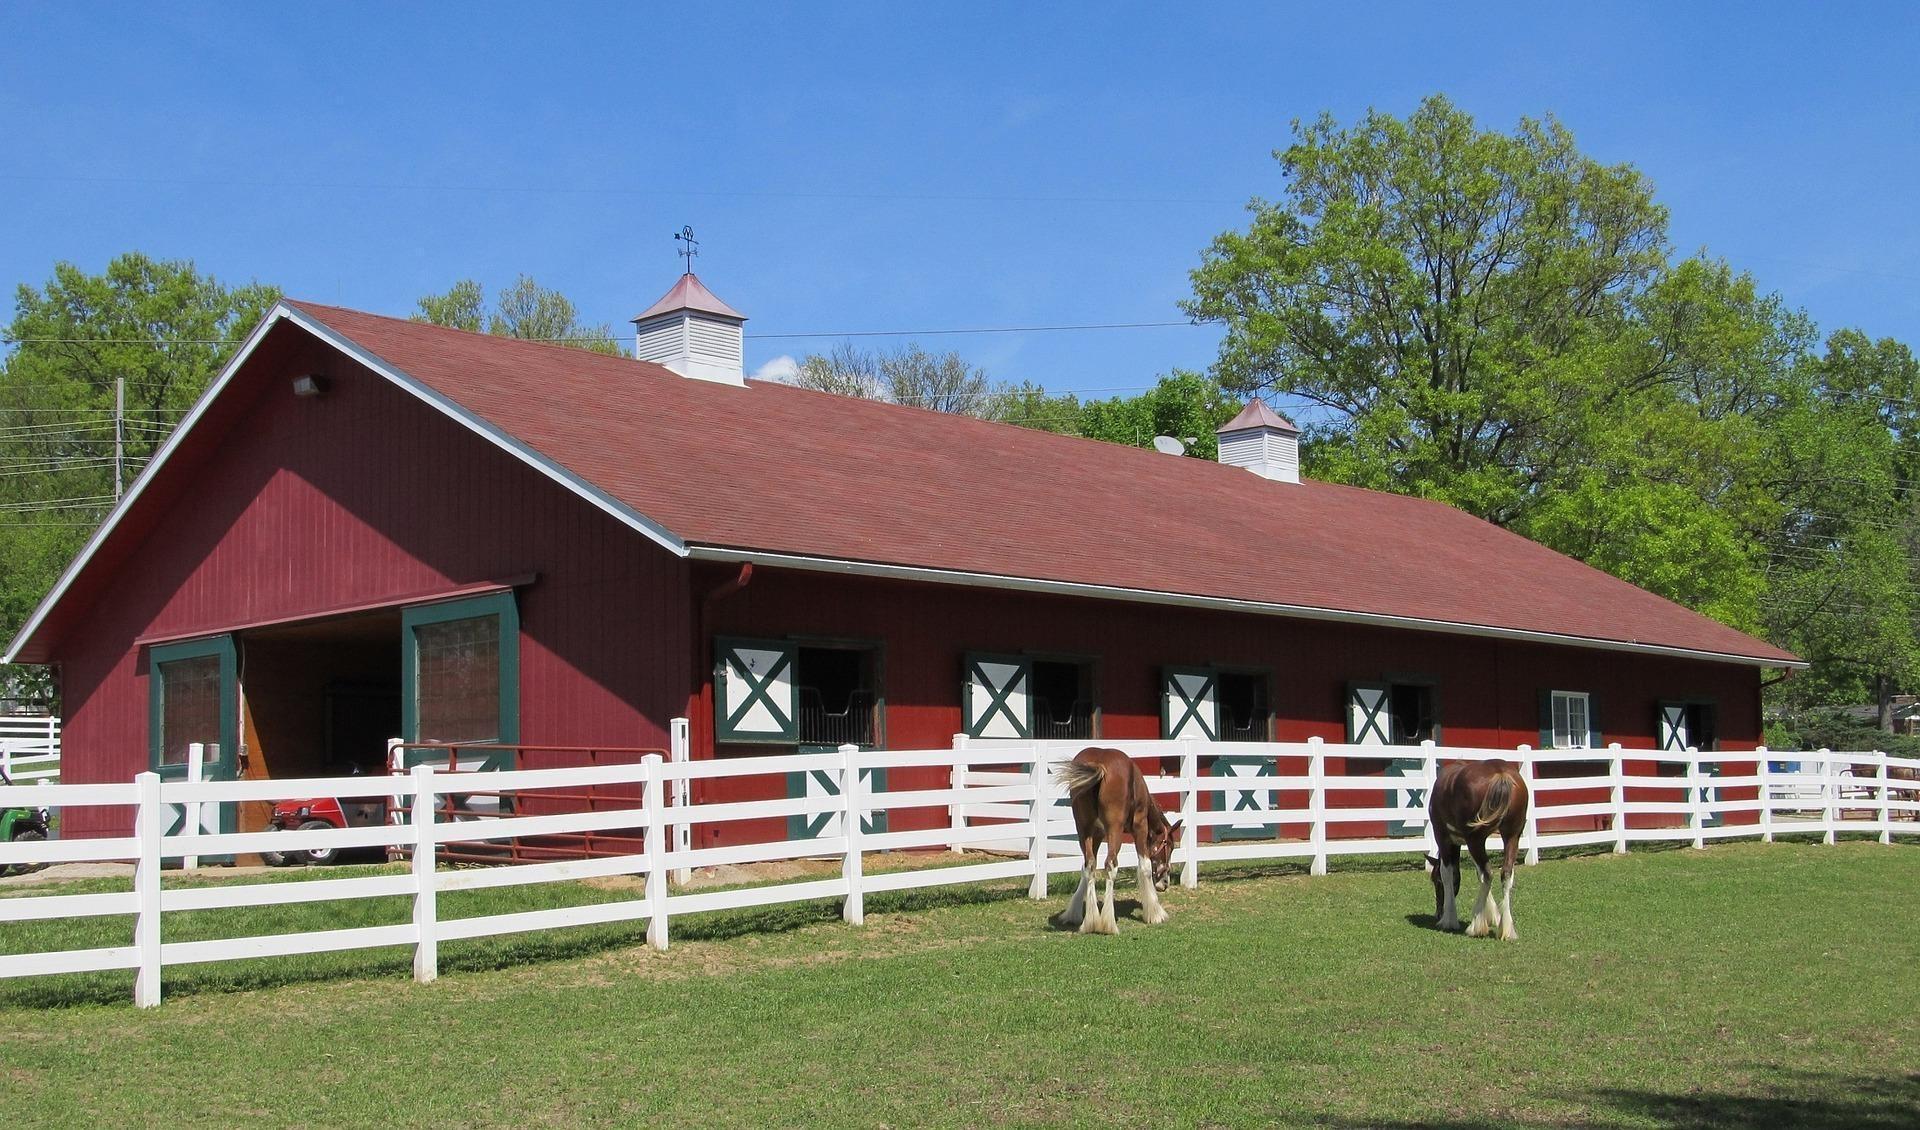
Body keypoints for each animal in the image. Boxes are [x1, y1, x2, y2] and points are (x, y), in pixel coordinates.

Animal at [1428, 763, 1528, 940]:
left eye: (1435, 881)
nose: (1437, 913)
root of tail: (1500, 772)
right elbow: (1476, 873)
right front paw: (1493, 915)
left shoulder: (1444, 837)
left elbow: (1448, 874)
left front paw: (1448, 919)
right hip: (1511, 836)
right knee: (1504, 874)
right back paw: (1506, 928)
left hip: (1475, 839)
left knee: (1487, 874)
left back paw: (1476, 926)